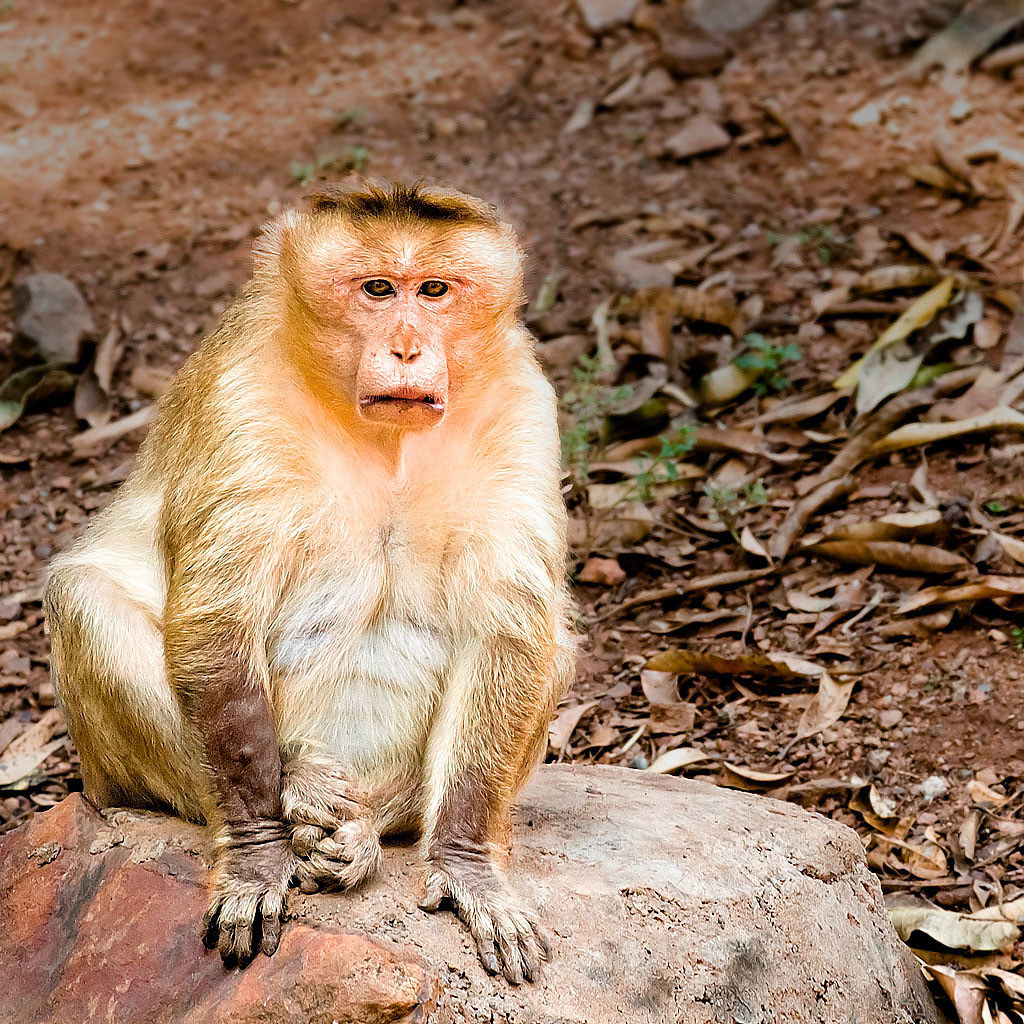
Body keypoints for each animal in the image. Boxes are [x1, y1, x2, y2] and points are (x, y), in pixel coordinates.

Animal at [46, 182, 577, 983]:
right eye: (378, 289)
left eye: (434, 291)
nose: (407, 347)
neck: (386, 441)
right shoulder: (240, 393)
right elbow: (217, 622)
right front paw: (257, 856)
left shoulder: (521, 401)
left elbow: (509, 630)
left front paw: (466, 865)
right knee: (83, 597)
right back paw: (301, 790)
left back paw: (368, 828)